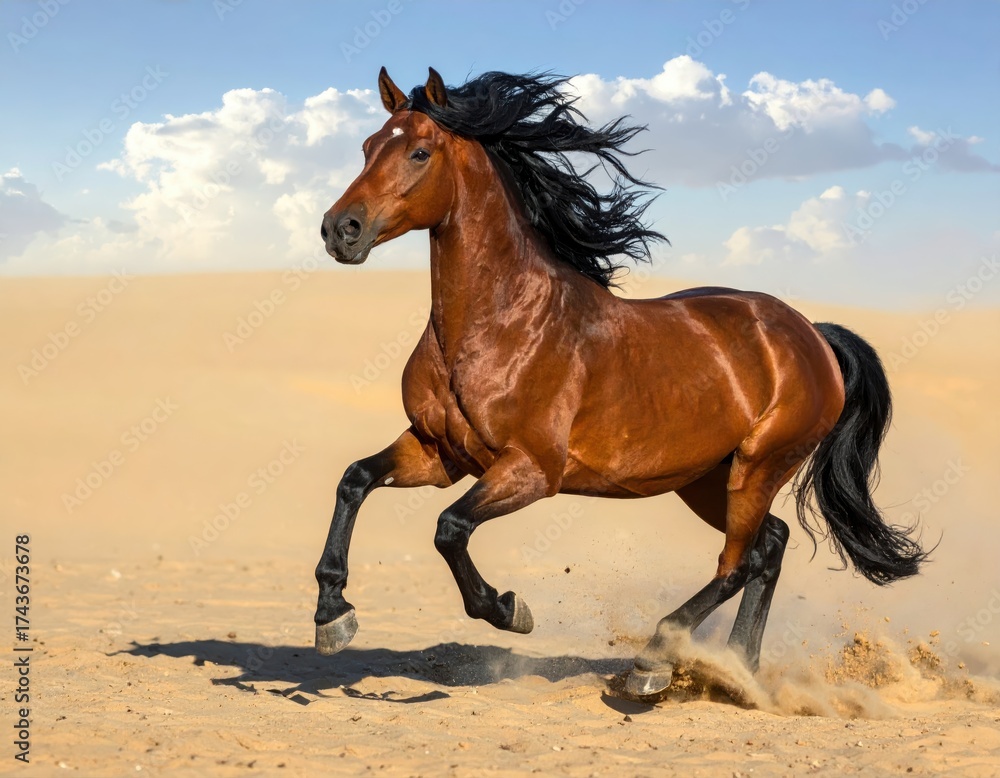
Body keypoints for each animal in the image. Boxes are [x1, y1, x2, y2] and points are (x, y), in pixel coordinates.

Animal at [315, 67, 927, 698]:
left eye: (419, 151)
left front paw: (509, 609)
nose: (340, 230)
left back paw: (656, 659)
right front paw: (333, 614)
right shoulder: (440, 453)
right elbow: (355, 480)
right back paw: (737, 671)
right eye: (366, 146)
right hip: (705, 478)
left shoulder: (532, 470)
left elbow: (450, 528)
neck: (499, 321)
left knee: (738, 562)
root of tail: (812, 335)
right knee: (771, 544)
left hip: (760, 466)